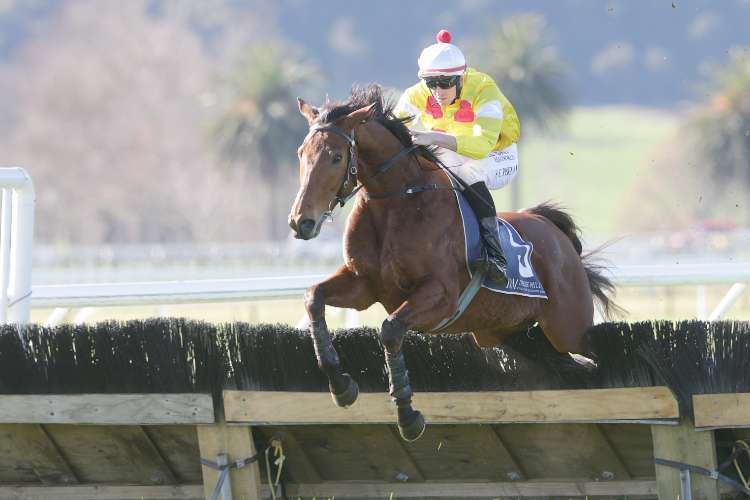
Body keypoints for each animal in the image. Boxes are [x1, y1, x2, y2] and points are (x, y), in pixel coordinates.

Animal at [288, 85, 617, 441]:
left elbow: (390, 329)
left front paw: (407, 415)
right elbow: (314, 298)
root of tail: (553, 231)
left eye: (336, 157)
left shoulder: (442, 295)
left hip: (568, 328)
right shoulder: (363, 284)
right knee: (568, 364)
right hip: (510, 332)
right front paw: (340, 385)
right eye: (301, 153)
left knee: (592, 348)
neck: (398, 203)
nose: (301, 222)